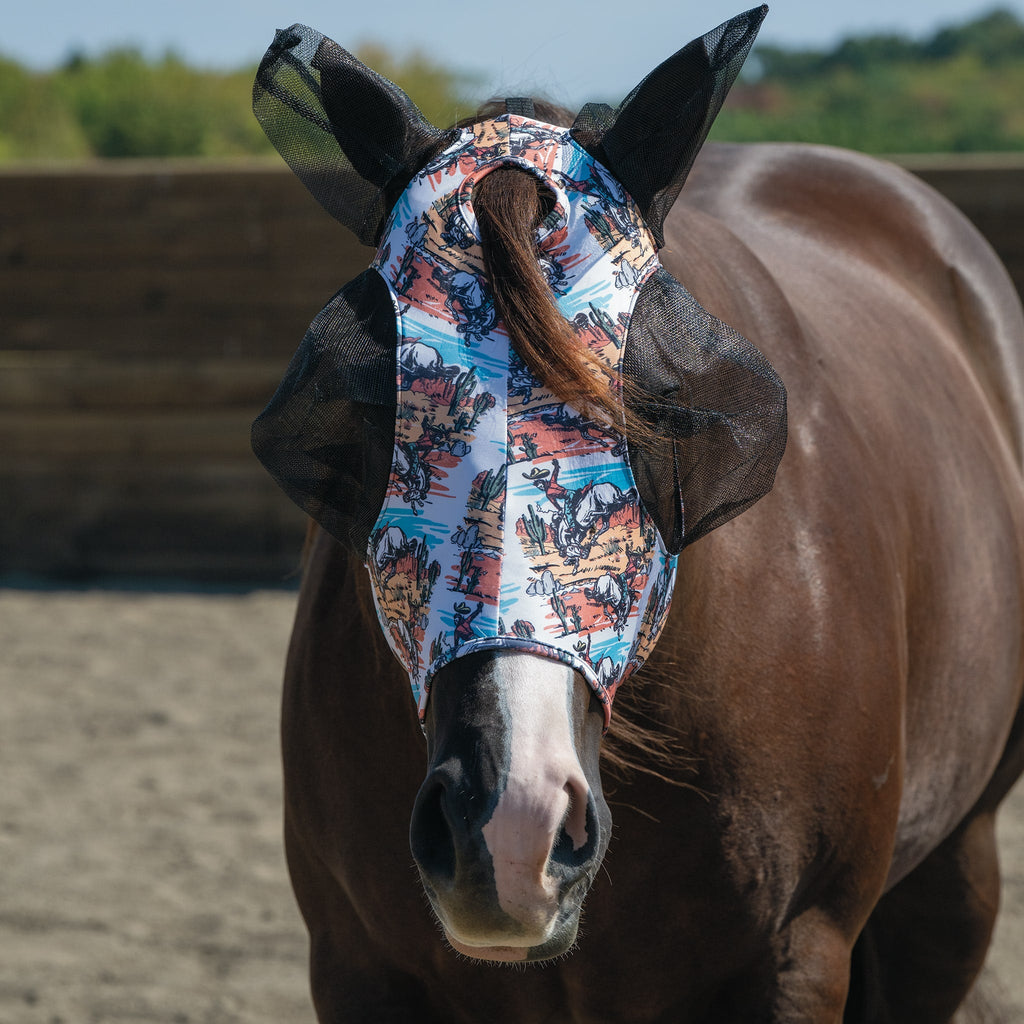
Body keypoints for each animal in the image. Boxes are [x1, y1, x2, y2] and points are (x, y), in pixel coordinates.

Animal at [252, 12, 1024, 1023]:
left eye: (656, 402)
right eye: (378, 406)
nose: (511, 825)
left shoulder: (795, 960)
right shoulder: (354, 968)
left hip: (953, 879)